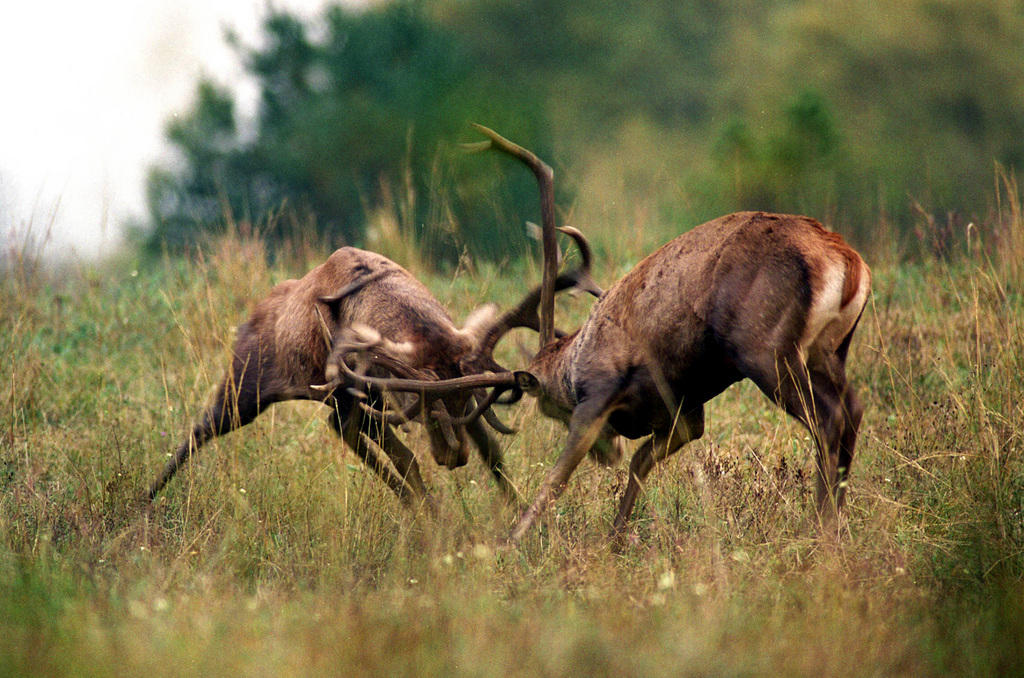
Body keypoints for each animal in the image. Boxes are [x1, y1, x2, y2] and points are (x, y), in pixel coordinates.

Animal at [335, 127, 872, 548]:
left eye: (551, 407)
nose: (605, 453)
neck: (573, 363)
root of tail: (850, 264)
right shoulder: (685, 412)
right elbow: (639, 464)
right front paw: (614, 538)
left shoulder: (600, 395)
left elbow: (558, 476)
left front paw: (515, 540)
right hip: (830, 350)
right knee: (852, 408)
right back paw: (836, 521)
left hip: (767, 350)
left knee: (826, 419)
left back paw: (820, 527)